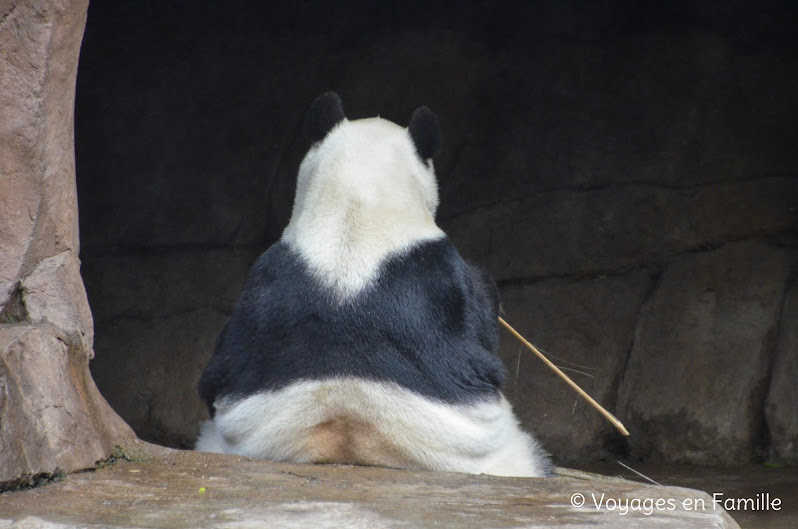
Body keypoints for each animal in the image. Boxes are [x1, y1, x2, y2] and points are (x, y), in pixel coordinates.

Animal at [197, 93, 552, 476]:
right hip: (504, 455)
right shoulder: (442, 278)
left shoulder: (264, 282)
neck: (354, 215)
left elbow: (220, 371)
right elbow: (482, 321)